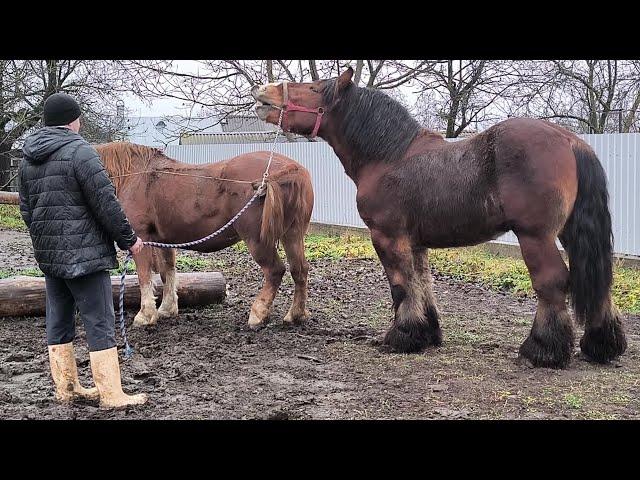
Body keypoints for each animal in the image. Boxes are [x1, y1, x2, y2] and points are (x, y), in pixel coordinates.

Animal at [96, 142, 314, 330]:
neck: (133, 176)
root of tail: (291, 168)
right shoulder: (163, 241)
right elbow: (167, 273)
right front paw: (167, 308)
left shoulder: (140, 239)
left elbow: (144, 276)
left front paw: (145, 315)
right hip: (292, 234)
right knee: (299, 269)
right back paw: (296, 314)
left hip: (257, 240)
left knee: (275, 271)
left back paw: (258, 313)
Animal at [251, 66, 624, 368]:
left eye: (314, 88)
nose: (262, 92)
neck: (388, 157)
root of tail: (571, 141)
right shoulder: (416, 243)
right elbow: (422, 284)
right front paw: (426, 334)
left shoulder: (388, 238)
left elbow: (401, 287)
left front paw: (402, 336)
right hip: (569, 233)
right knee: (599, 279)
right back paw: (601, 346)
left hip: (536, 237)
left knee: (551, 282)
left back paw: (542, 350)